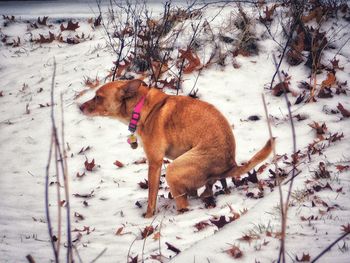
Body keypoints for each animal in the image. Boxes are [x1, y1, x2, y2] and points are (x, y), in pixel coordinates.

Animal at [79, 80, 274, 219]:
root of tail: (230, 164)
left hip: (172, 170)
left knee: (184, 205)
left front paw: (148, 216)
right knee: (209, 188)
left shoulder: (155, 162)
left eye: (98, 97)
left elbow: (151, 196)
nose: (79, 107)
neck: (140, 106)